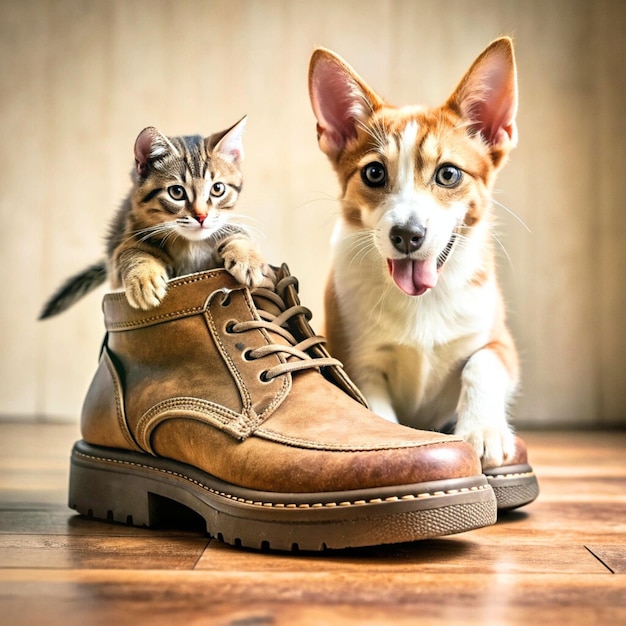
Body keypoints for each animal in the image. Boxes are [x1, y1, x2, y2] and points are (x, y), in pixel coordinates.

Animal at [40, 114, 270, 316]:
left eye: (218, 189)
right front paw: (144, 279)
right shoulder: (121, 245)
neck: (189, 246)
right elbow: (133, 252)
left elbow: (237, 234)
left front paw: (248, 258)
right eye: (176, 192)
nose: (201, 217)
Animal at [308, 37, 516, 468]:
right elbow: (375, 409)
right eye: (374, 173)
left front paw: (483, 430)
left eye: (448, 174)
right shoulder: (358, 362)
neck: (422, 303)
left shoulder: (501, 342)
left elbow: (482, 364)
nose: (407, 235)